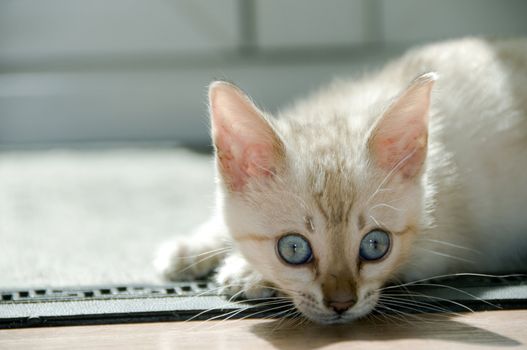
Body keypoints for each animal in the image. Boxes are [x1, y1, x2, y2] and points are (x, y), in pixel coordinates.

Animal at [154, 37, 527, 322]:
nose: (341, 304)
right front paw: (189, 249)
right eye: (293, 249)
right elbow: (221, 221)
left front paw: (248, 271)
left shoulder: (446, 241)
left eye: (375, 246)